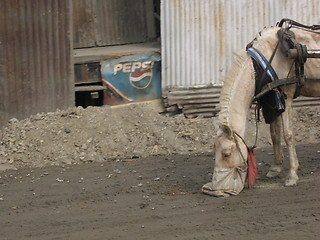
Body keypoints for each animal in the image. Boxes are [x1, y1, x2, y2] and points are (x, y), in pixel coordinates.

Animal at [202, 23, 320, 197]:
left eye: (226, 154)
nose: (215, 191)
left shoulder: (286, 97)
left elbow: (288, 135)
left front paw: (292, 175)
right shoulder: (272, 100)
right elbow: (275, 134)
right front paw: (275, 168)